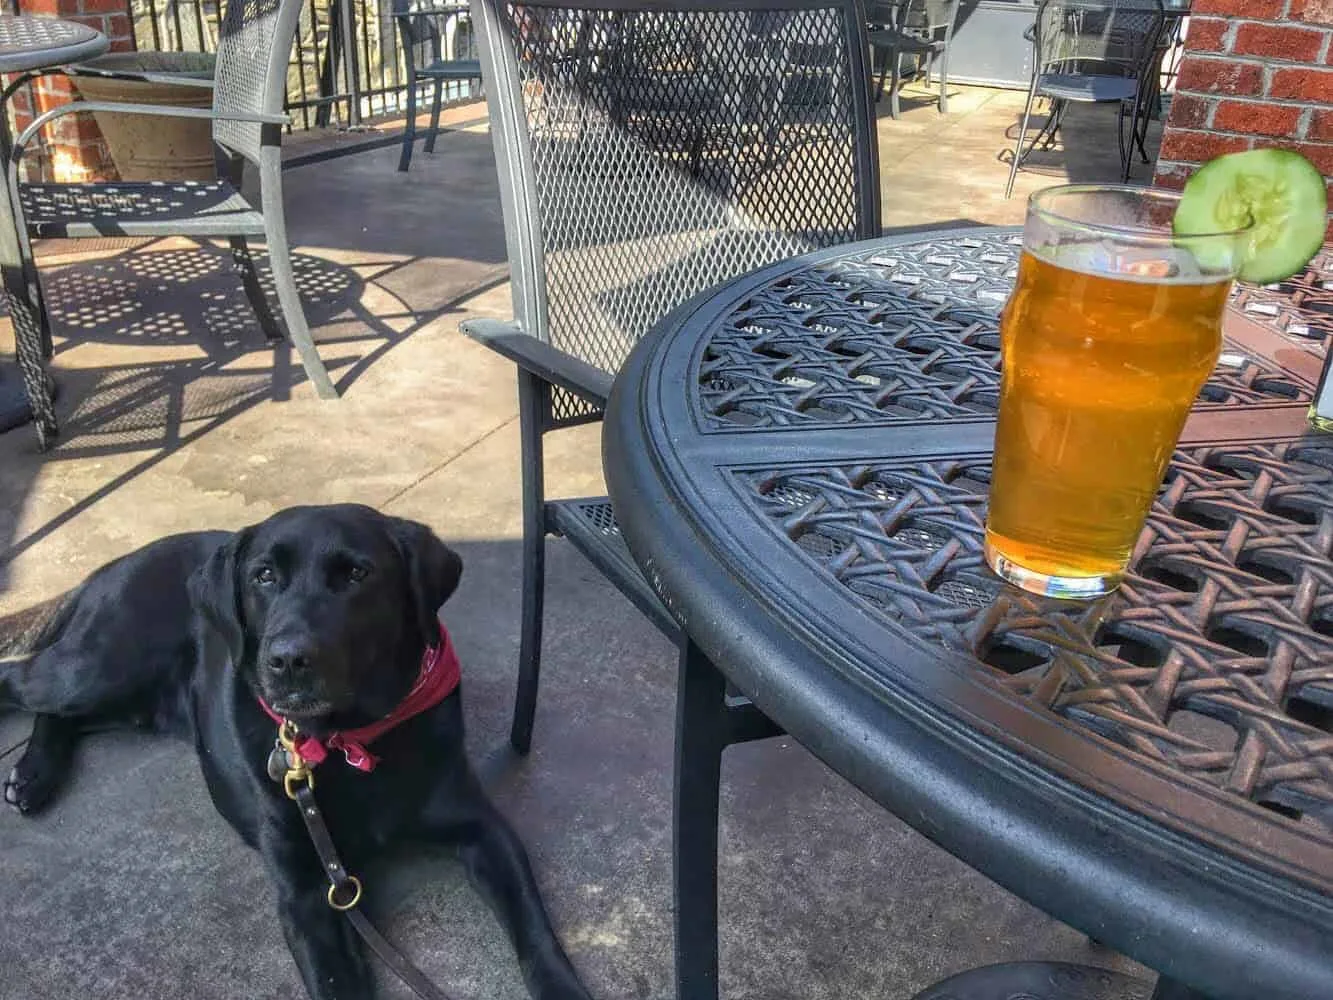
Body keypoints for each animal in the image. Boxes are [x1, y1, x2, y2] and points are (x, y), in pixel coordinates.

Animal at [0, 509, 594, 1000]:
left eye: (357, 574)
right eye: (264, 576)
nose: (287, 659)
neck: (349, 740)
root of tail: (117, 563)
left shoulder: (483, 829)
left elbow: (535, 931)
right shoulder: (306, 893)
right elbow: (336, 982)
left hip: (134, 701)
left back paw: (33, 775)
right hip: (99, 666)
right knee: (21, 682)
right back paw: (30, 774)